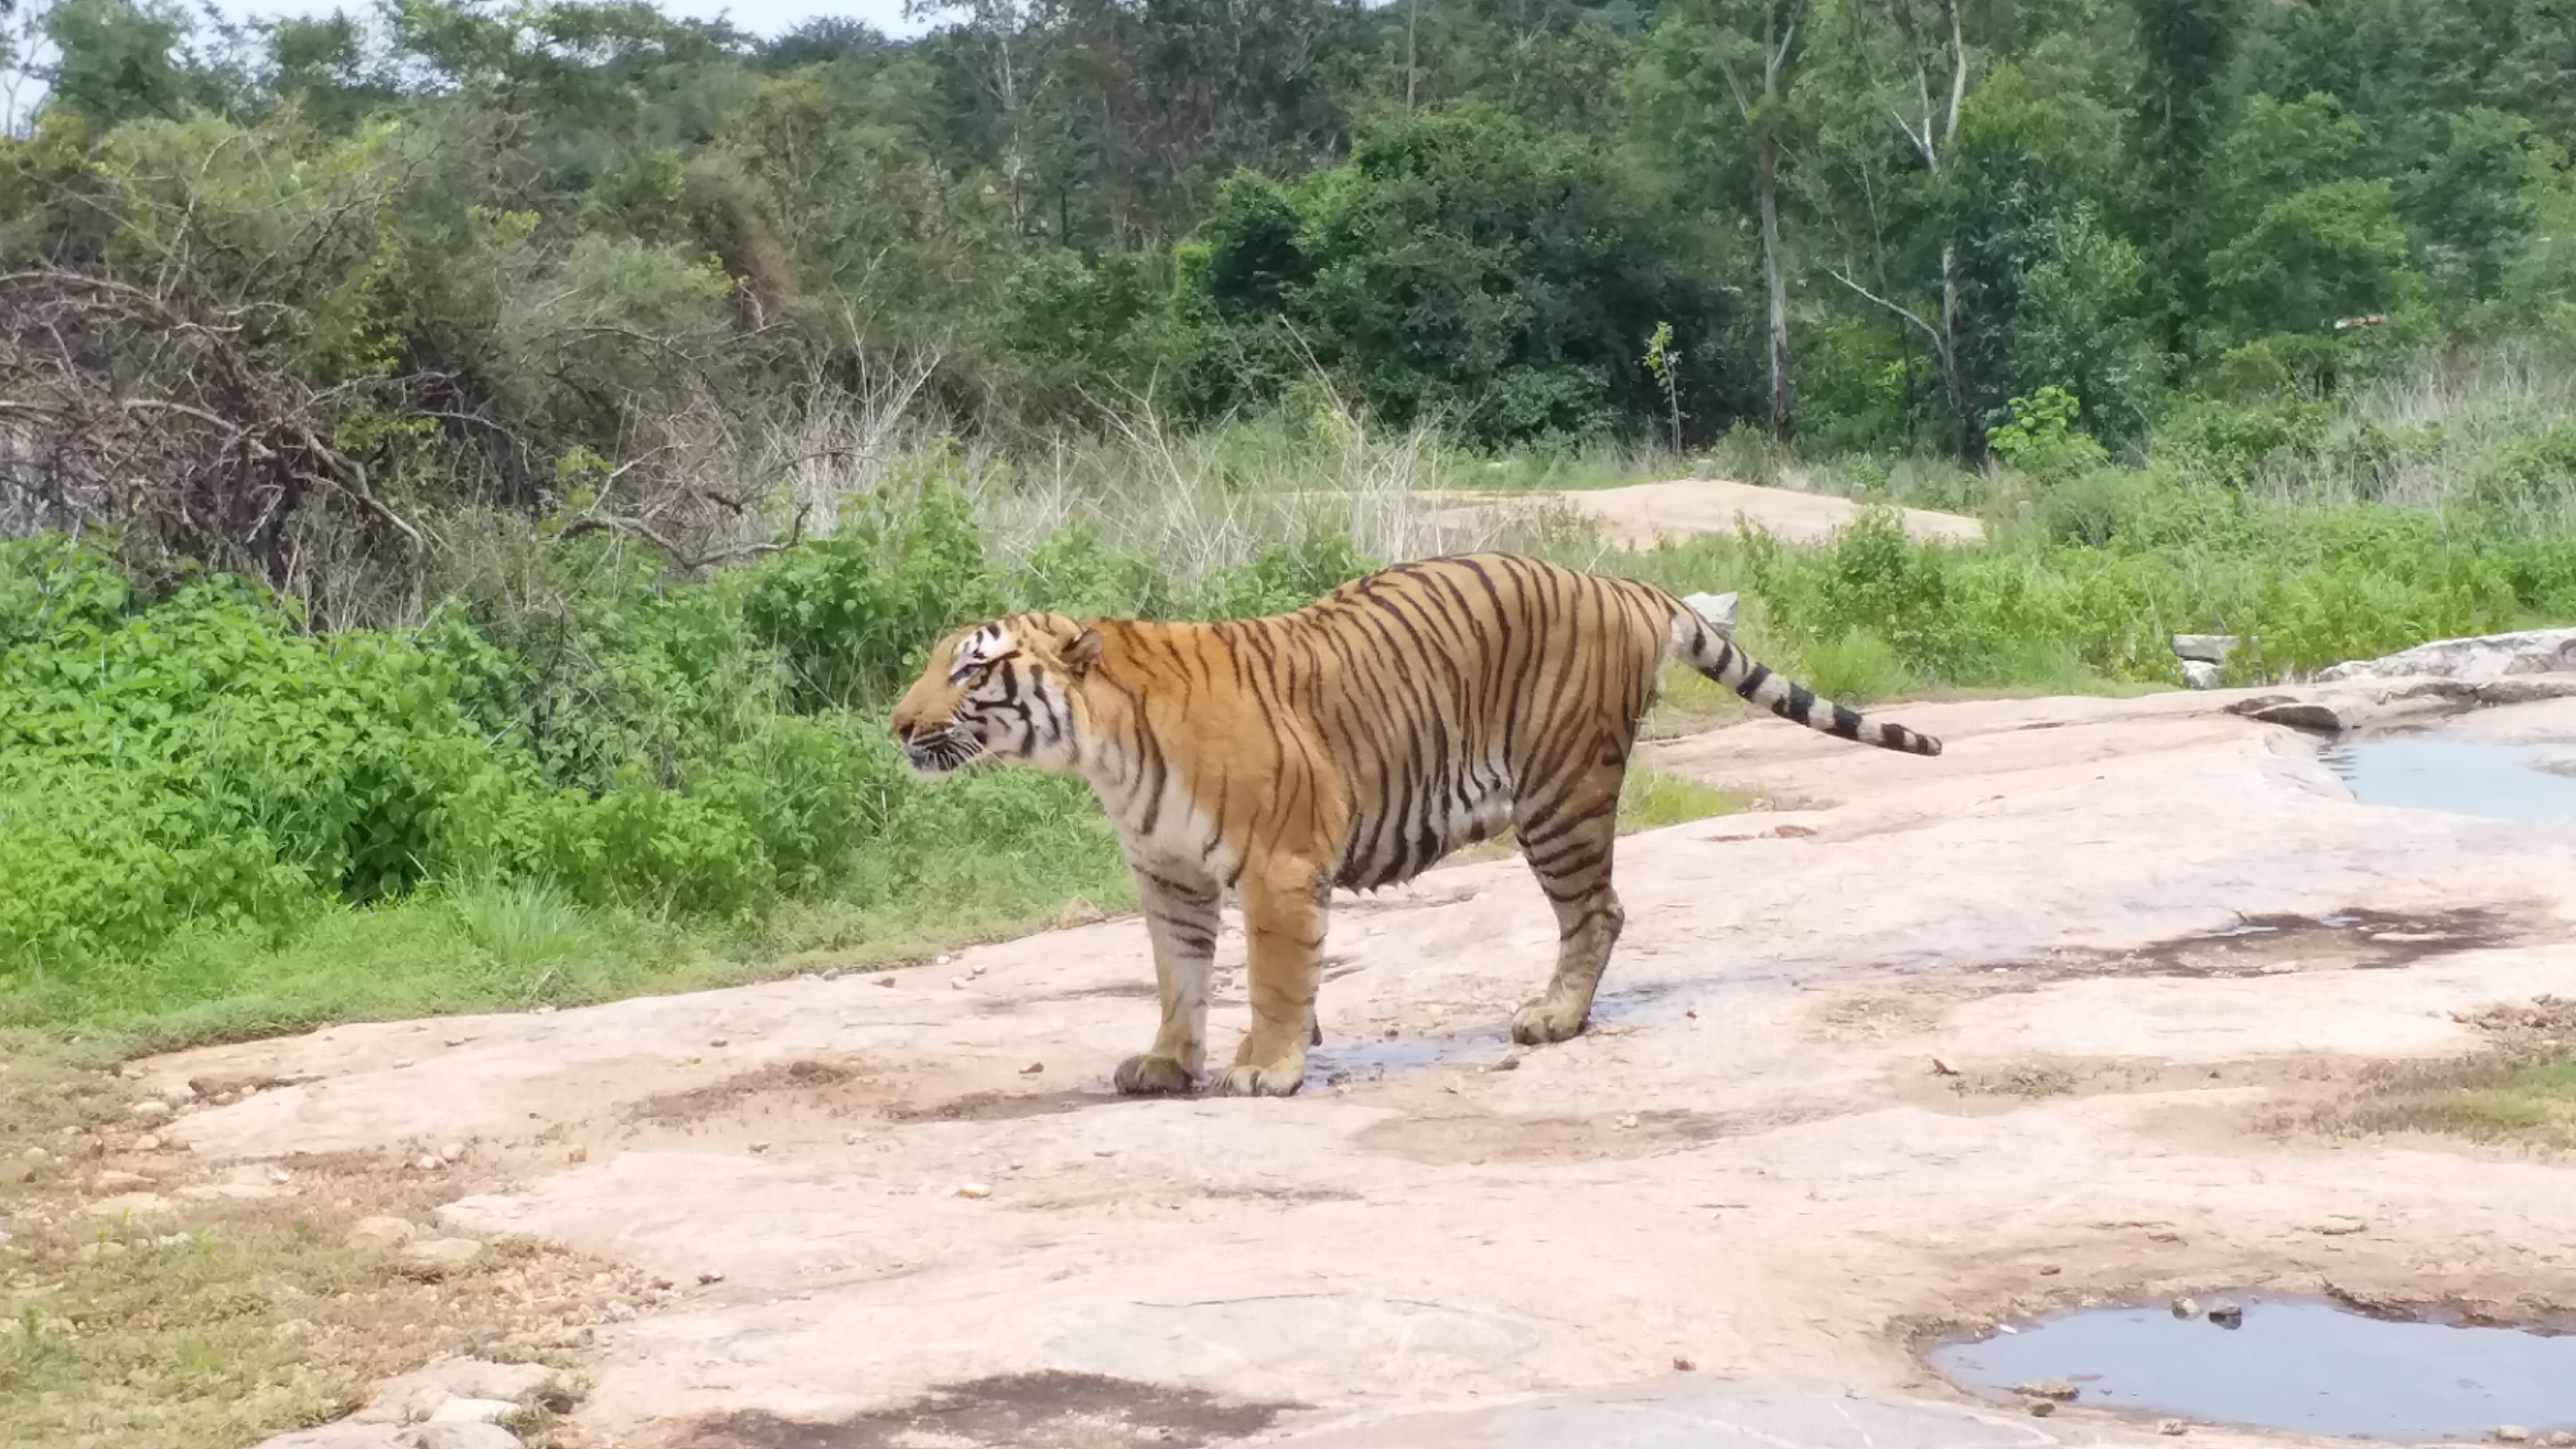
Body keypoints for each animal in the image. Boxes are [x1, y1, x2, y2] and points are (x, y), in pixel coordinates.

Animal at [886, 546, 1937, 1088]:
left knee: (1596, 911)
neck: (1098, 751)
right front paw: (1166, 1062)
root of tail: (1621, 582)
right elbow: (1179, 979)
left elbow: (1272, 979)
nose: (894, 724)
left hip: (1559, 795)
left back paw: (1553, 1019)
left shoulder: (1276, 866)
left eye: (970, 670)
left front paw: (1265, 1067)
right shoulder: (1170, 876)